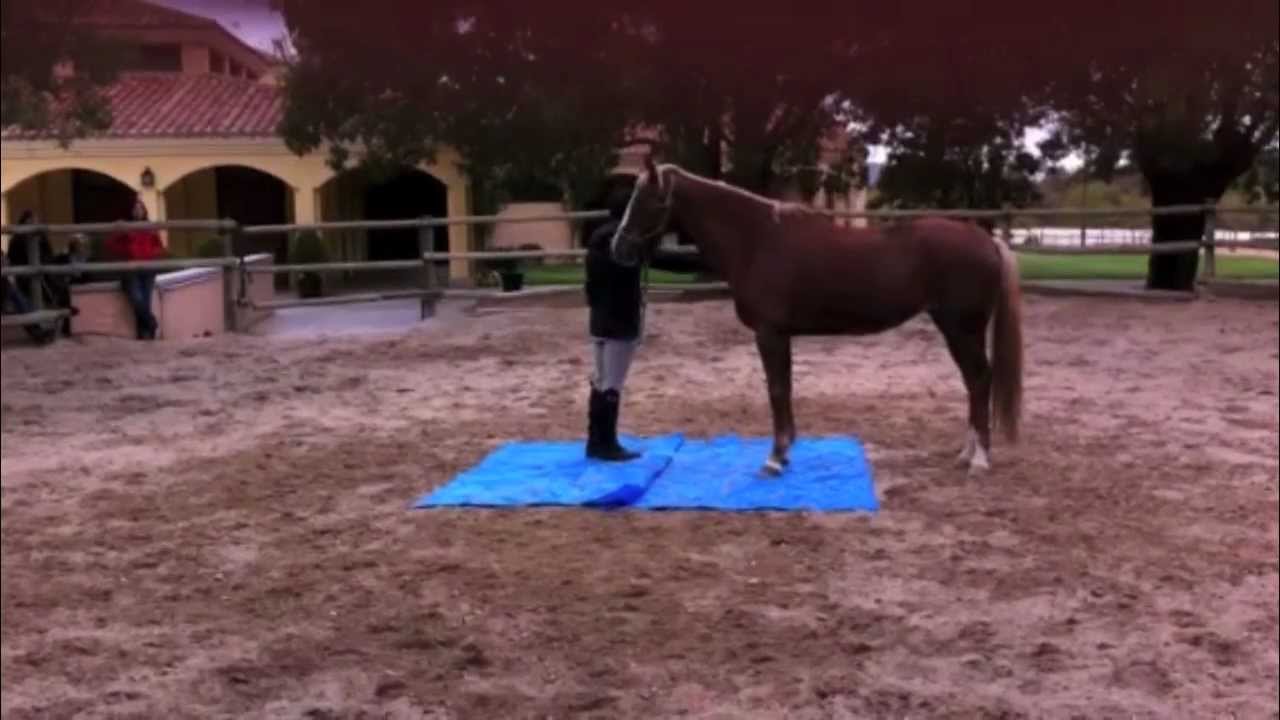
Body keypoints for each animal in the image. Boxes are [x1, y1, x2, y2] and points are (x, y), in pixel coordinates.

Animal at [609, 155, 1024, 477]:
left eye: (646, 200)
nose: (618, 248)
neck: (756, 240)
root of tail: (987, 239)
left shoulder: (770, 333)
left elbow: (777, 390)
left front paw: (775, 459)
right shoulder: (780, 335)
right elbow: (785, 388)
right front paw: (785, 453)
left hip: (962, 329)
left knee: (980, 380)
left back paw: (979, 460)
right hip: (955, 328)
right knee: (973, 383)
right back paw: (966, 455)